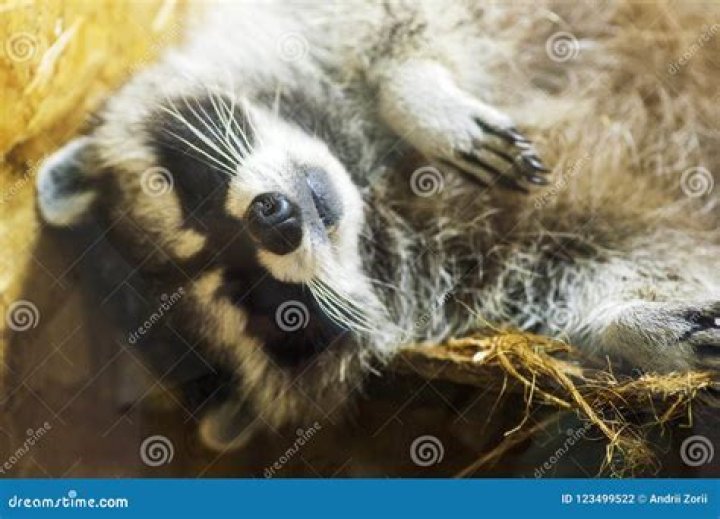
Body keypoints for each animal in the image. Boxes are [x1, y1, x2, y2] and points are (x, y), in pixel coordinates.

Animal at [36, 1, 720, 451]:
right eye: (266, 303)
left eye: (194, 200)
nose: (275, 223)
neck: (363, 181)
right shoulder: (495, 256)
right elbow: (616, 256)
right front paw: (627, 325)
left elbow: (385, 21)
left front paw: (411, 92)